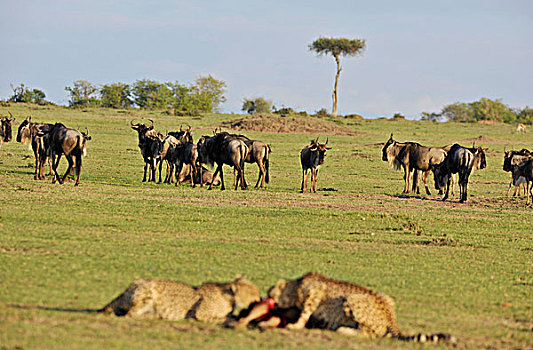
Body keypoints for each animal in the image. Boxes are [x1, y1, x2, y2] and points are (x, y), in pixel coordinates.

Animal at [99, 276, 260, 322]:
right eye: (253, 293)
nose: (260, 299)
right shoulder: (200, 314)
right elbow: (222, 317)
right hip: (147, 293)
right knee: (129, 314)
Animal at [268, 272, 456, 344]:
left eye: (270, 293)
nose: (265, 298)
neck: (295, 285)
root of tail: (391, 318)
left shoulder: (315, 291)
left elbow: (306, 311)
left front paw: (295, 326)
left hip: (352, 299)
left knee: (369, 334)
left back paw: (343, 330)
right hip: (385, 297)